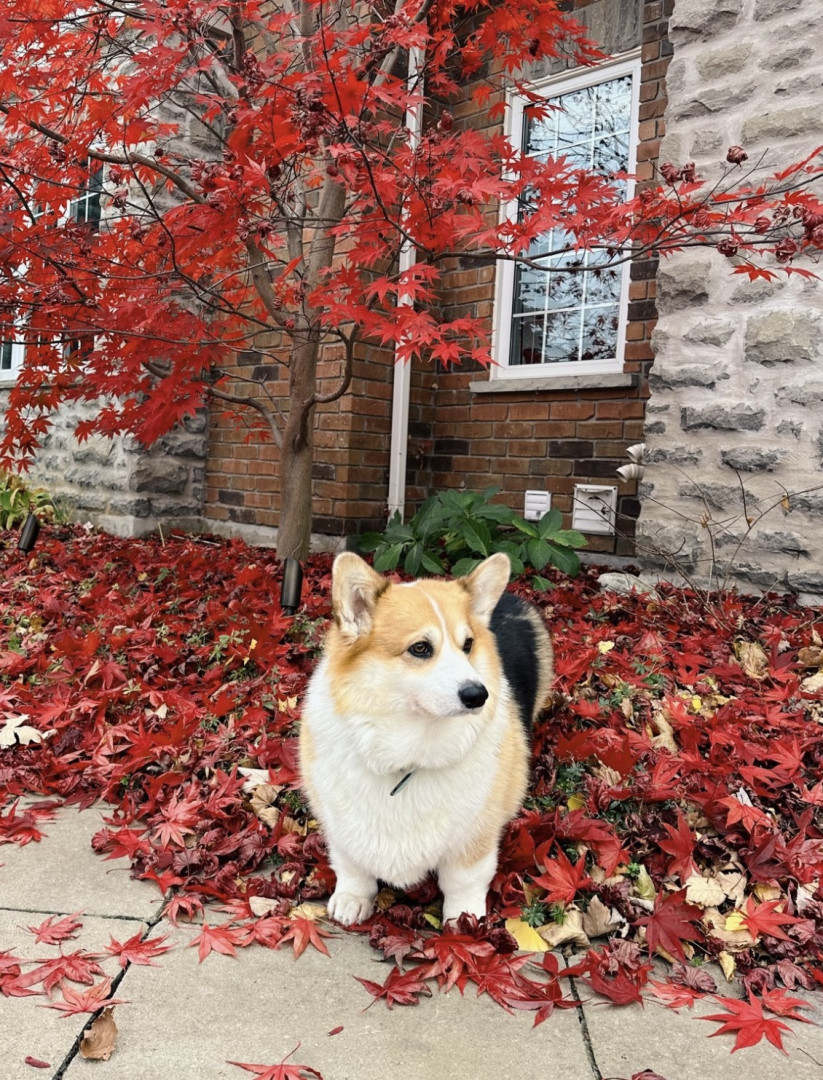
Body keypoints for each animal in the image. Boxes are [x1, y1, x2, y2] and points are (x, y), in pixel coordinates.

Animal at [299, 550, 553, 926]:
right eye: (420, 648)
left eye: (468, 645)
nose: (479, 695)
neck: (409, 755)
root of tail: (510, 597)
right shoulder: (339, 824)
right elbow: (352, 866)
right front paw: (352, 899)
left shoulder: (474, 836)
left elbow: (463, 880)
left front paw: (464, 919)